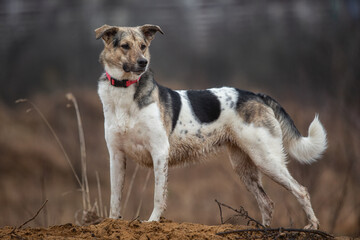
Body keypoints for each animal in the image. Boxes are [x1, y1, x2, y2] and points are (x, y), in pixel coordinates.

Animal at [94, 23, 328, 229]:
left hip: (266, 159)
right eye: (125, 46)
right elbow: (115, 196)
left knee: (301, 190)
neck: (124, 91)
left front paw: (152, 222)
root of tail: (256, 95)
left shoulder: (159, 152)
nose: (143, 62)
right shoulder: (116, 155)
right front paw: (112, 222)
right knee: (267, 203)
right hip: (244, 167)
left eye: (143, 46)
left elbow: (158, 195)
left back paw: (312, 225)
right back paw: (264, 230)